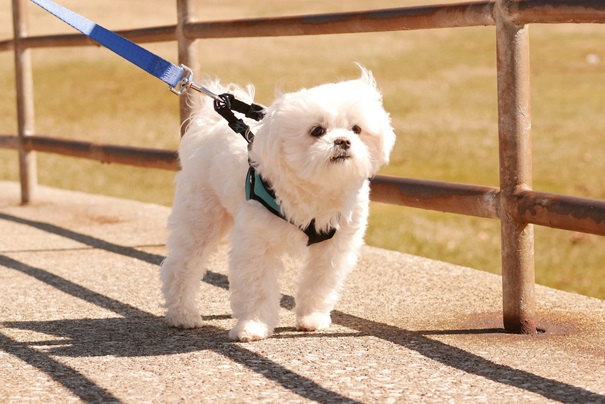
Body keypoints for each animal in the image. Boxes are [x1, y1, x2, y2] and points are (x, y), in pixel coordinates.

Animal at [160, 66, 396, 340]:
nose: (343, 141)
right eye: (317, 130)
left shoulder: (335, 246)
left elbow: (320, 282)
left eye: (356, 129)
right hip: (201, 216)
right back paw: (182, 314)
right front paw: (253, 325)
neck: (317, 187)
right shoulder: (257, 243)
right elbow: (257, 287)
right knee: (182, 265)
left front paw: (312, 317)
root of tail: (212, 123)